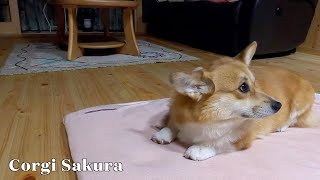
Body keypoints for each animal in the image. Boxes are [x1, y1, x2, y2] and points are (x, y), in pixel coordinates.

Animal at [151, 41, 316, 160]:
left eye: (255, 84)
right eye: (243, 87)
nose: (279, 105)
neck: (207, 120)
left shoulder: (241, 138)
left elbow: (221, 142)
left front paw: (200, 148)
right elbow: (172, 124)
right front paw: (163, 132)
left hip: (299, 104)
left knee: (293, 119)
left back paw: (281, 125)